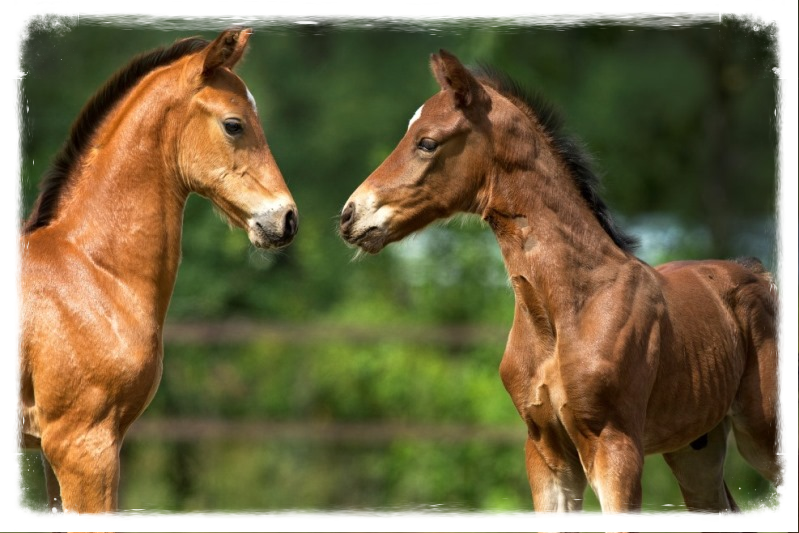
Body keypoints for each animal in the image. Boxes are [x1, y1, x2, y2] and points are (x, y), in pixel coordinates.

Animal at [339, 50, 779, 513]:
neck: (563, 311)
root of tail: (756, 271)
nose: (350, 215)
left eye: (426, 142)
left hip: (763, 434)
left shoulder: (615, 448)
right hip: (695, 447)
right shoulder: (546, 453)